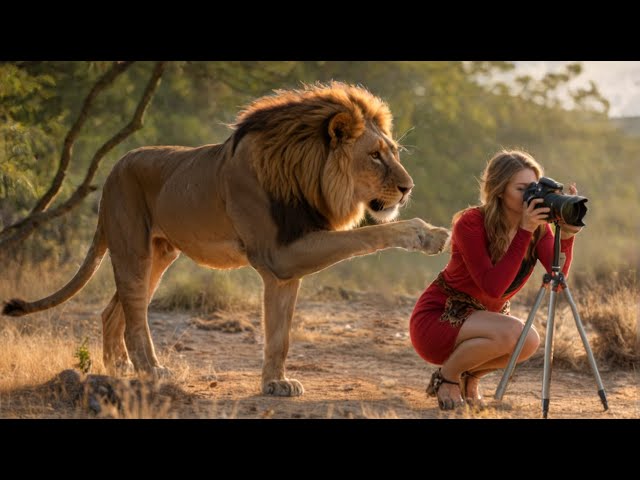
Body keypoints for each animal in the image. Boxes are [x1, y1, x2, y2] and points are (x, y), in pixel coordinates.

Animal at [3, 83, 450, 398]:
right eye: (375, 155)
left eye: (394, 152)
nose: (408, 189)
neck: (306, 174)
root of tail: (113, 168)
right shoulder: (278, 255)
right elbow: (372, 233)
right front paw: (427, 233)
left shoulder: (286, 268)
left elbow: (280, 334)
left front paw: (276, 383)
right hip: (132, 248)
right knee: (134, 316)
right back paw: (151, 369)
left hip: (159, 255)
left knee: (115, 311)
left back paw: (118, 369)